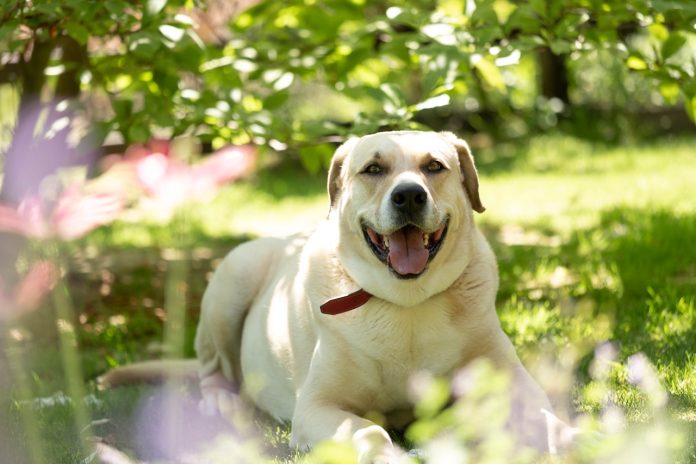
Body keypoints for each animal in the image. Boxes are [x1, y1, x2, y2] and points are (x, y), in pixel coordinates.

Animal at [190, 130, 556, 460]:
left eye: (434, 166)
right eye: (373, 169)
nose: (409, 195)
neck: (407, 302)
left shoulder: (513, 380)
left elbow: (543, 414)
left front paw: (563, 437)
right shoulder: (316, 407)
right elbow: (370, 432)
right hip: (234, 279)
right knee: (212, 367)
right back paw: (220, 399)